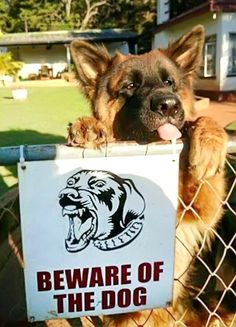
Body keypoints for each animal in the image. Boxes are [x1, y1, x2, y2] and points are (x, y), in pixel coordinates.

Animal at [67, 26, 229, 327]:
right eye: (130, 86)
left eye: (169, 82)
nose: (169, 105)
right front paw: (88, 125)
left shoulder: (200, 211)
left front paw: (210, 139)